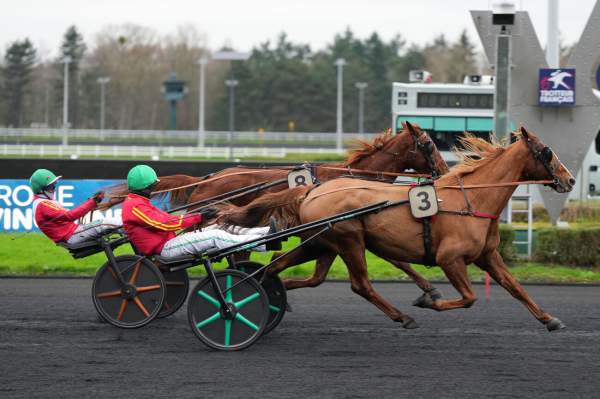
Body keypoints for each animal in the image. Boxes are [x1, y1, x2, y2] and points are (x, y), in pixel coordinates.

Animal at [223, 128, 580, 332]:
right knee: (360, 285)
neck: (472, 198)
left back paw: (260, 295)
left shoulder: (488, 256)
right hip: (349, 240)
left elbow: (516, 288)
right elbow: (469, 297)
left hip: (322, 243)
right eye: (547, 151)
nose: (570, 179)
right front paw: (429, 301)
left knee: (277, 269)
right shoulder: (450, 259)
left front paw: (549, 319)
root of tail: (312, 190)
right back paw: (401, 316)